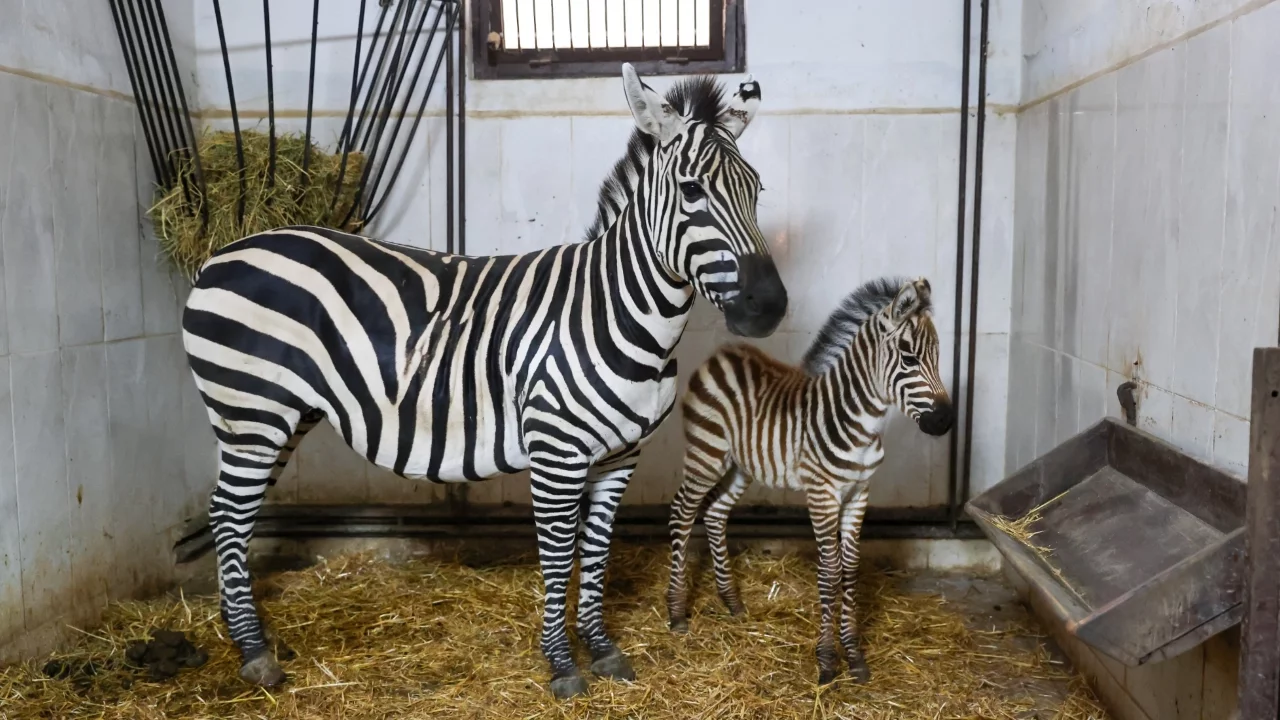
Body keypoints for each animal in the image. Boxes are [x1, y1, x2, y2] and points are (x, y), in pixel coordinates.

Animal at [181, 63, 787, 700]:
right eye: (692, 191)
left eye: (756, 191)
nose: (769, 306)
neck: (619, 310)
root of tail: (223, 251)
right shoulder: (556, 452)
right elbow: (559, 554)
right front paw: (562, 665)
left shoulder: (621, 455)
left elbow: (597, 550)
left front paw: (601, 648)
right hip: (252, 411)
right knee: (229, 515)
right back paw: (254, 653)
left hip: (280, 416)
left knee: (232, 513)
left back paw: (240, 631)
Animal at [665, 276, 953, 686]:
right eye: (910, 358)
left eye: (938, 357)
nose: (944, 421)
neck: (859, 422)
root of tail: (722, 353)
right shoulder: (822, 494)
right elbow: (830, 572)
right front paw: (828, 660)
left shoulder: (859, 493)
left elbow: (850, 569)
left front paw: (854, 655)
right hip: (706, 455)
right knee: (682, 513)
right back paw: (676, 613)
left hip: (741, 466)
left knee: (716, 514)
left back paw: (732, 602)